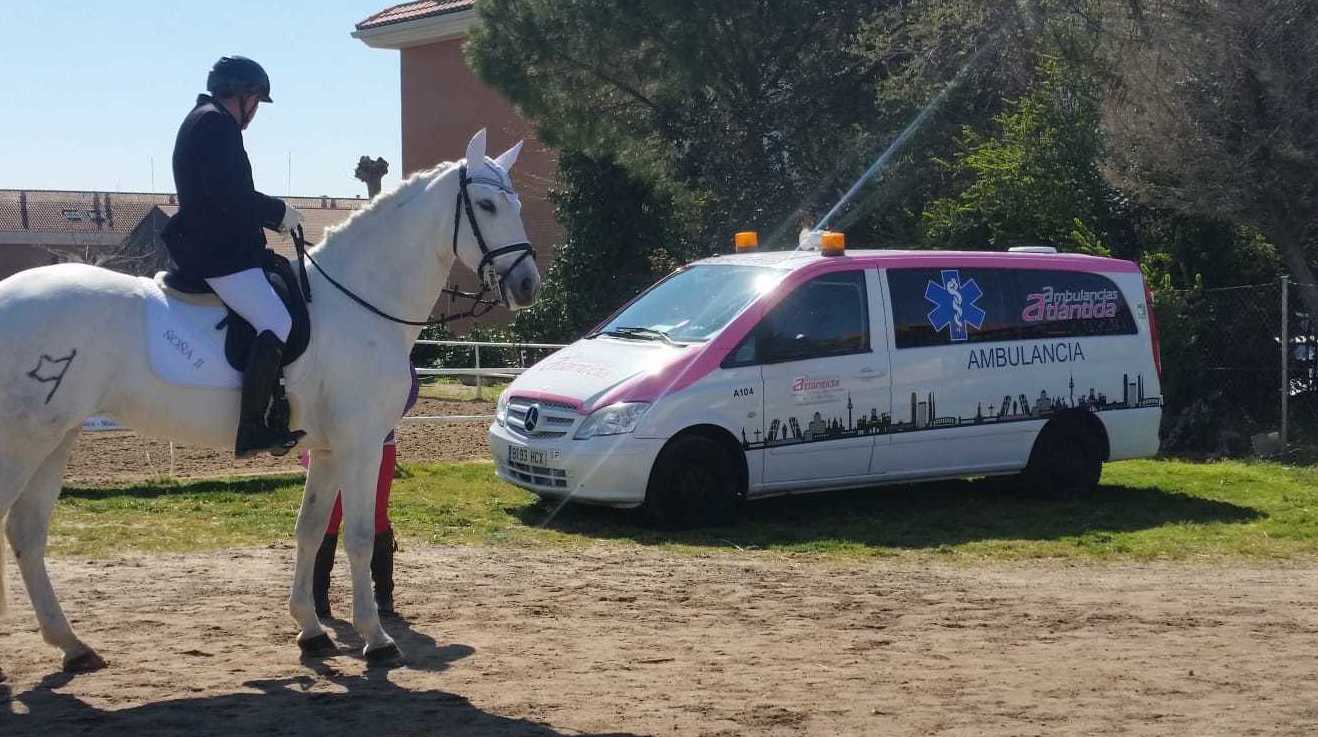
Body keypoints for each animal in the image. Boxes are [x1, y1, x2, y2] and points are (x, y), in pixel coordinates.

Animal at [0, 129, 540, 672]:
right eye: (488, 205)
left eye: (517, 205)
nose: (528, 284)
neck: (356, 300)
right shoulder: (360, 444)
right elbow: (359, 536)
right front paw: (376, 638)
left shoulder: (327, 449)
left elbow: (312, 529)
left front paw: (310, 629)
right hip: (25, 443)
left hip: (57, 438)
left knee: (27, 533)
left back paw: (73, 645)